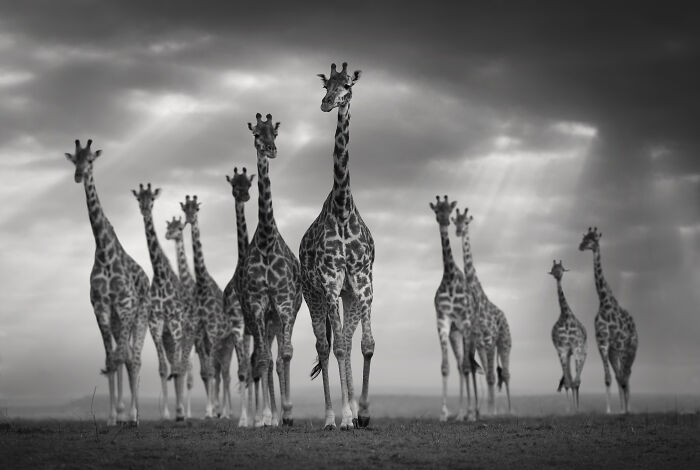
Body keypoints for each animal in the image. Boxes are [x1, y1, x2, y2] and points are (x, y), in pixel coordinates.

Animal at [64, 139, 150, 426]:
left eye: (90, 160)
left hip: (140, 317)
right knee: (123, 357)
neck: (103, 251)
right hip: (116, 321)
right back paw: (125, 413)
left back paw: (134, 415)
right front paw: (112, 416)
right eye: (75, 159)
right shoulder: (101, 308)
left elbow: (123, 357)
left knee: (135, 358)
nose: (79, 175)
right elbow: (111, 357)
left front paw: (126, 412)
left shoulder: (125, 306)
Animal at [453, 207, 511, 415]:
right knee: (490, 373)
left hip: (503, 342)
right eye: (455, 221)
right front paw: (486, 410)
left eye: (466, 222)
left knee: (506, 374)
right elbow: (486, 375)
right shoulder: (478, 341)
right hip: (485, 346)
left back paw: (510, 410)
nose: (458, 231)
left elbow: (493, 376)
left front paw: (491, 411)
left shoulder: (488, 339)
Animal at [548, 259, 587, 412]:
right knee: (569, 379)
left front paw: (577, 409)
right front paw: (569, 410)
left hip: (580, 351)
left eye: (562, 268)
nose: (557, 275)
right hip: (568, 354)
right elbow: (567, 382)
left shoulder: (576, 347)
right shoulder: (562, 350)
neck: (565, 317)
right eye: (553, 268)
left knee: (577, 377)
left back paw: (578, 407)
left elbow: (576, 381)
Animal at [579, 227, 638, 414]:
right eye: (584, 237)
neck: (604, 303)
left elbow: (621, 377)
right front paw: (610, 411)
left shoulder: (617, 344)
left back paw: (629, 408)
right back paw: (623, 408)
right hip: (615, 351)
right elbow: (608, 378)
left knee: (627, 374)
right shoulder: (603, 342)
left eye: (593, 239)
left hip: (630, 348)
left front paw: (622, 410)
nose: (580, 246)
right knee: (620, 375)